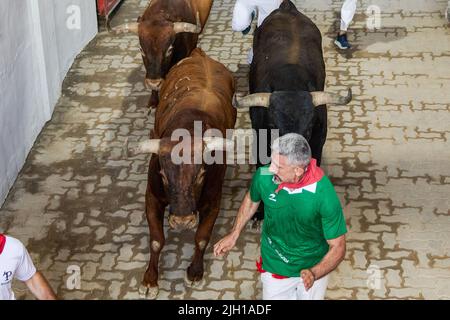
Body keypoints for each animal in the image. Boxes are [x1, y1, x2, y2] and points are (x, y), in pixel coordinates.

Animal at [123, 48, 236, 298]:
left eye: (202, 174)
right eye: (164, 176)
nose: (183, 221)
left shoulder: (213, 200)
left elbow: (202, 238)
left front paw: (195, 271)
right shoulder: (152, 196)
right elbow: (157, 240)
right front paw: (150, 280)